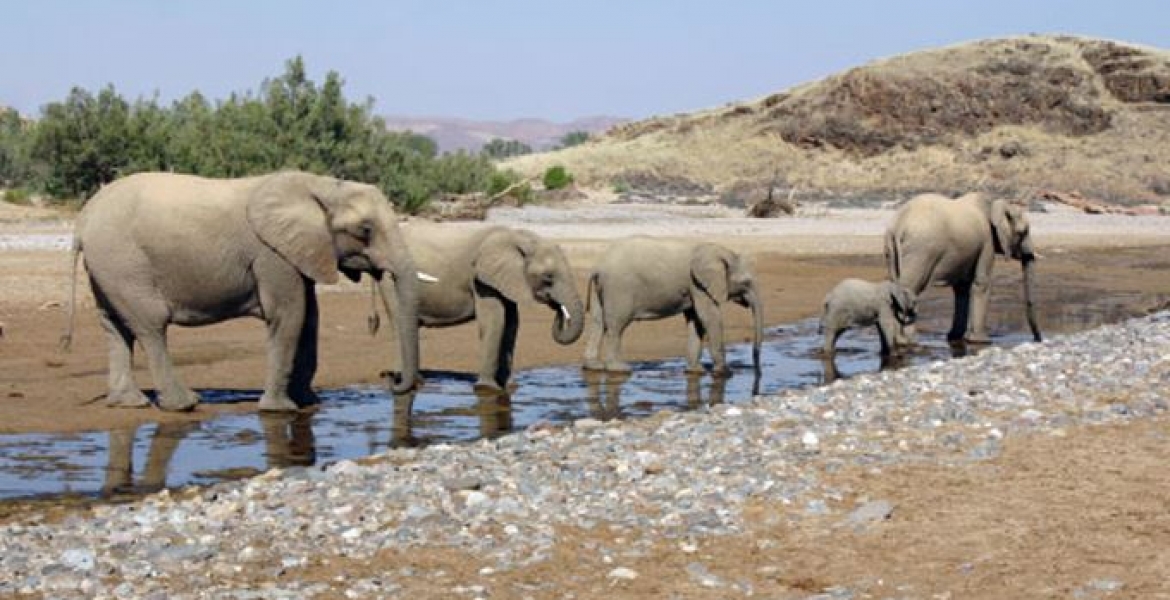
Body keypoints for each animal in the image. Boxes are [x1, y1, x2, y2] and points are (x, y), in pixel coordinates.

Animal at [63, 171, 421, 413]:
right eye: (365, 230)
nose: (391, 380)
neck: (319, 186)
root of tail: (82, 221)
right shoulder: (271, 254)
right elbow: (289, 315)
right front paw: (280, 409)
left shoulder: (297, 252)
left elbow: (310, 318)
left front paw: (308, 402)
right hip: (124, 262)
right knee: (151, 324)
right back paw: (185, 404)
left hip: (108, 267)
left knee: (115, 326)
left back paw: (129, 403)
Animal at [379, 224, 585, 393]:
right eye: (548, 277)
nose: (557, 308)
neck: (518, 237)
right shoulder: (481, 279)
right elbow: (495, 320)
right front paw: (488, 389)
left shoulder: (505, 279)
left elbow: (512, 324)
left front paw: (510, 386)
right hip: (391, 282)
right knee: (398, 323)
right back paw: (403, 380)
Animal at [582, 237, 763, 375]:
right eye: (746, 282)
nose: (757, 371)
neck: (718, 250)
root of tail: (598, 267)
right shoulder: (698, 284)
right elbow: (709, 317)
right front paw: (724, 373)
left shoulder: (694, 287)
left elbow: (696, 321)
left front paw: (695, 371)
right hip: (619, 289)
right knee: (616, 325)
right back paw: (619, 369)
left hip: (603, 289)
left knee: (598, 322)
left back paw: (594, 367)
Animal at [884, 192, 1041, 345]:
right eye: (1023, 232)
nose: (1037, 339)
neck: (994, 204)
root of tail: (899, 224)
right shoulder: (987, 242)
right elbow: (981, 283)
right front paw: (982, 341)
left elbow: (962, 288)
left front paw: (954, 337)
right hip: (921, 250)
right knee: (910, 290)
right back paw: (907, 341)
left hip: (893, 249)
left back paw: (899, 341)